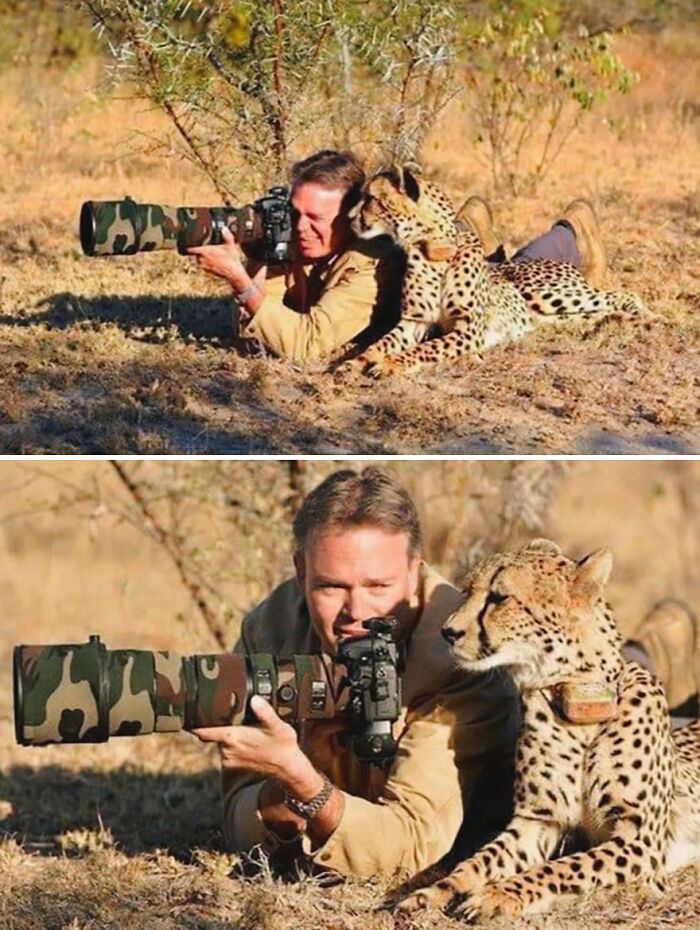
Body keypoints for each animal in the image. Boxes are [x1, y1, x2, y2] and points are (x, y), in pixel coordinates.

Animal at [340, 167, 648, 378]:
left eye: (371, 199)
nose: (349, 219)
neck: (431, 250)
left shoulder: (469, 330)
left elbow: (425, 348)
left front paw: (390, 364)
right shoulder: (414, 322)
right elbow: (380, 343)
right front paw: (354, 362)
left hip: (544, 293)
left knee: (621, 295)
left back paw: (643, 317)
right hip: (549, 315)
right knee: (592, 313)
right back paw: (613, 321)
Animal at [397, 538, 700, 923]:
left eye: (499, 597)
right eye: (467, 591)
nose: (448, 632)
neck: (577, 703)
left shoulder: (640, 842)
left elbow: (564, 868)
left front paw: (497, 894)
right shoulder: (536, 822)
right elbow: (476, 862)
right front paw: (431, 893)